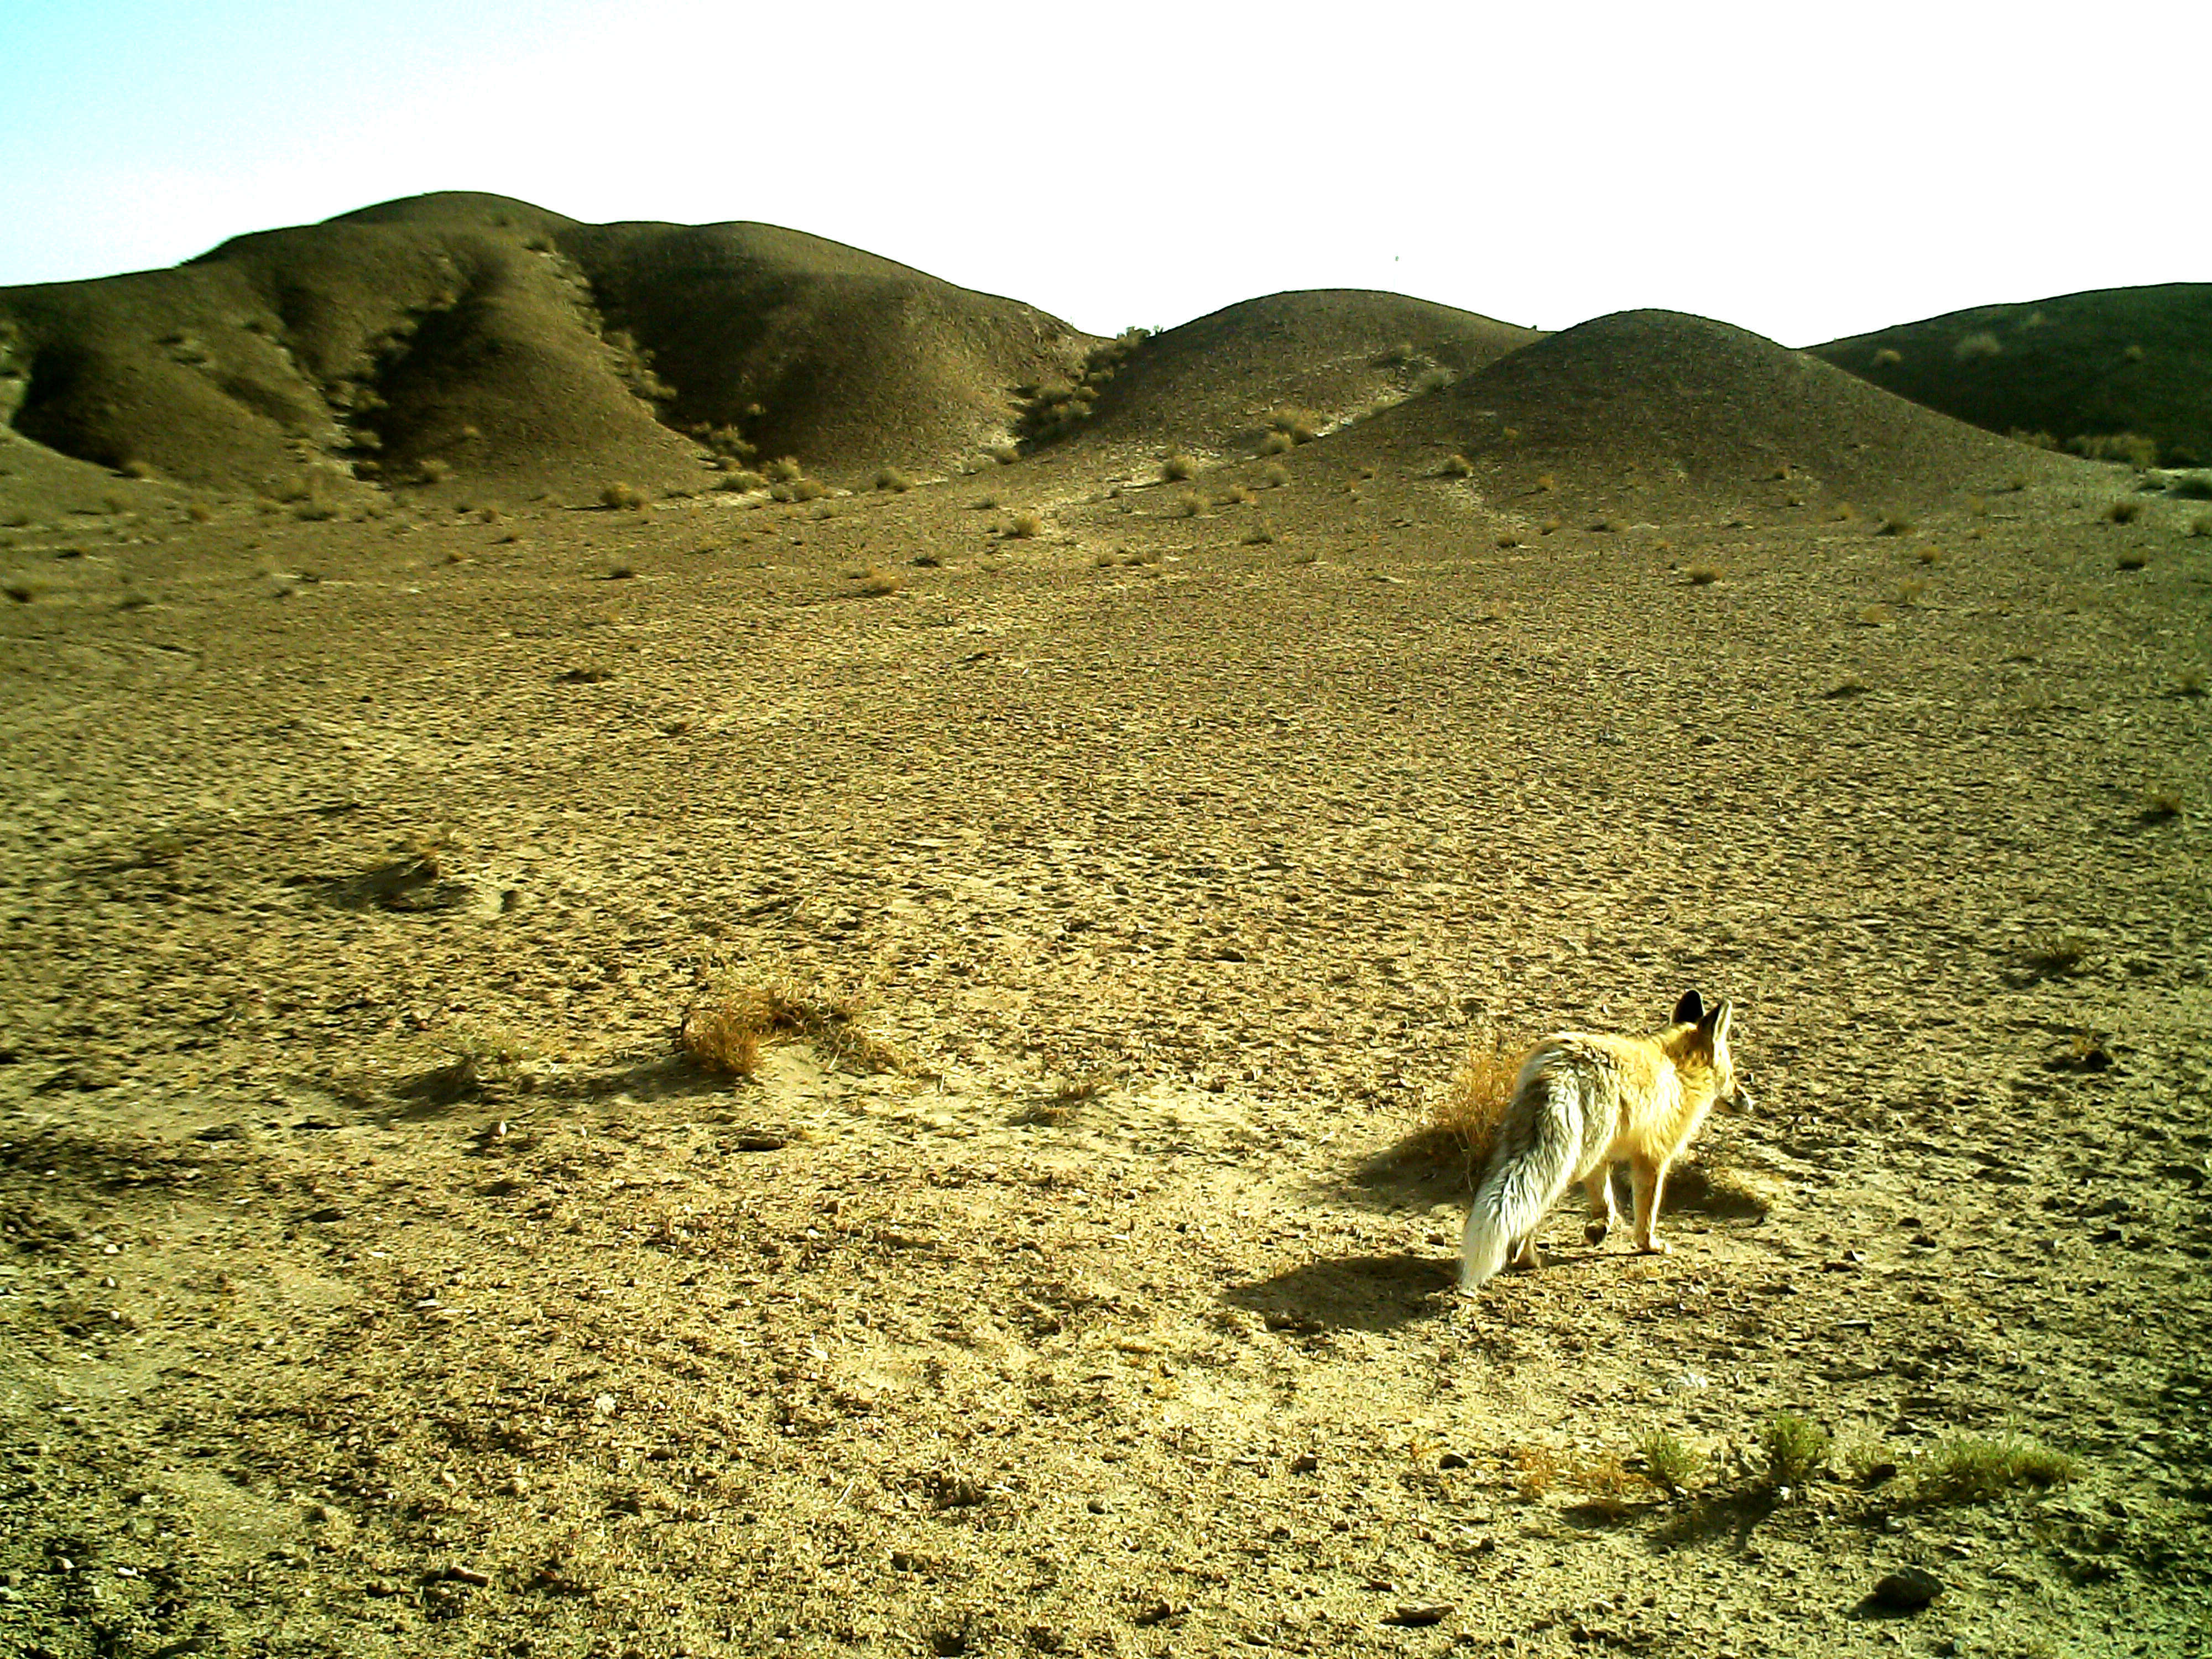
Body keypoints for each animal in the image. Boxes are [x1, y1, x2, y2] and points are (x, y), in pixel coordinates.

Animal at [1460, 987, 1752, 1301]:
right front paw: (1650, 1246)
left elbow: (1606, 1202)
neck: (1678, 1070)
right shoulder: (1653, 1159)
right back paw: (1527, 1258)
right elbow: (1646, 1215)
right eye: (1732, 1075)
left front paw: (1599, 1228)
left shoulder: (1602, 1157)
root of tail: (1563, 1067)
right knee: (1531, 1207)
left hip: (1548, 1146)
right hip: (1570, 1162)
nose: (1748, 1100)